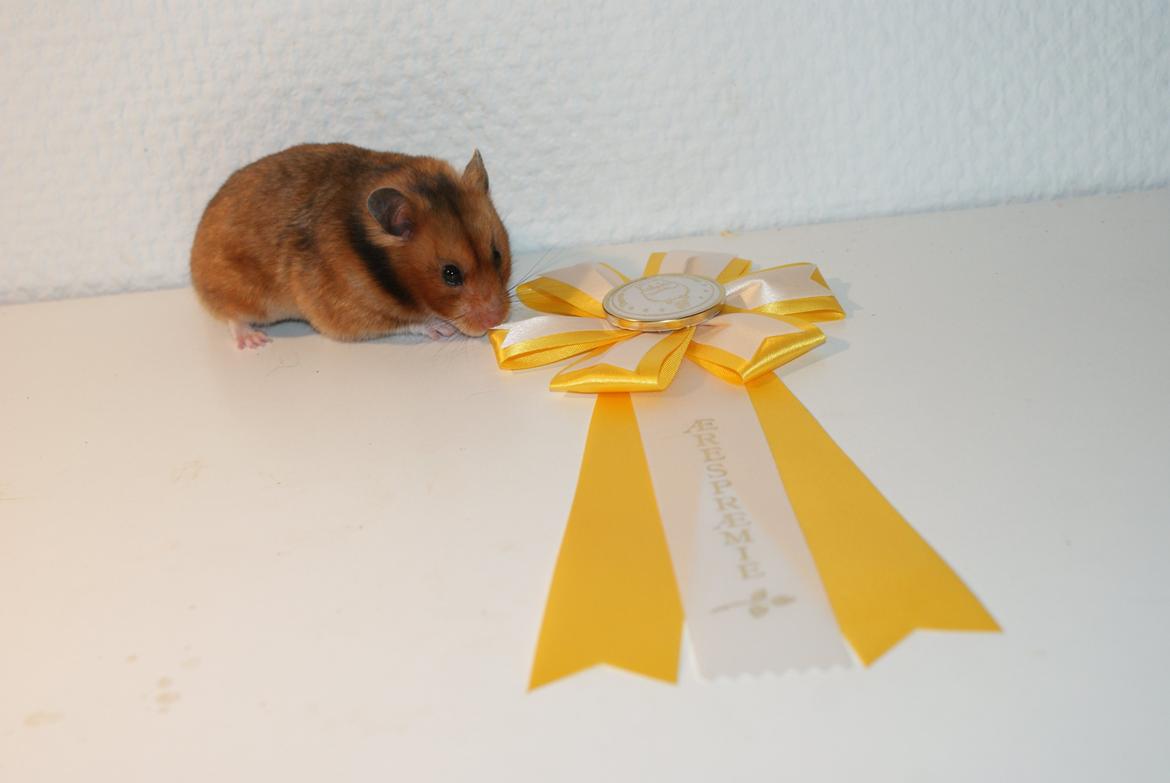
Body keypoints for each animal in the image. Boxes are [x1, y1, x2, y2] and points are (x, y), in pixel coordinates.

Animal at [190, 143, 512, 348]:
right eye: (450, 274)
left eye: (497, 255)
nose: (497, 320)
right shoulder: (346, 313)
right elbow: (406, 322)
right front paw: (441, 328)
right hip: (244, 296)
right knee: (232, 316)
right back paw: (254, 341)